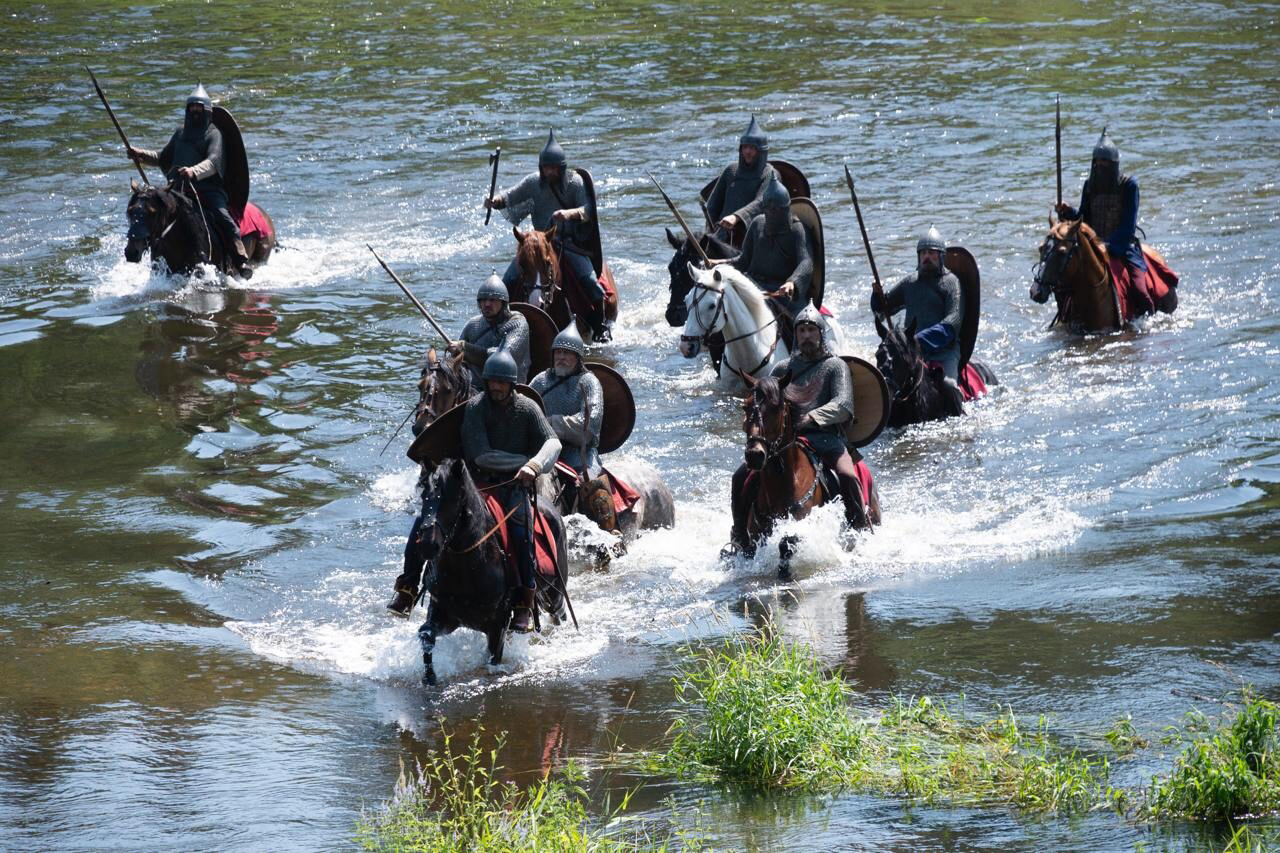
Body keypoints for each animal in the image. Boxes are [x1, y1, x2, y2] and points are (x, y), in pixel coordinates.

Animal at [409, 458, 570, 686]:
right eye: (424, 496)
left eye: (453, 499)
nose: (427, 545)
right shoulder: (445, 614)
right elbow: (426, 635)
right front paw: (430, 677)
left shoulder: (497, 625)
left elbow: (493, 660)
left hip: (554, 593)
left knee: (558, 614)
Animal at [737, 373, 875, 578]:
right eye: (745, 407)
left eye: (776, 408)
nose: (754, 455)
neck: (784, 480)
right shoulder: (757, 533)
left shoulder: (805, 524)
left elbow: (785, 543)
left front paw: (784, 573)